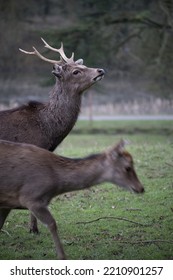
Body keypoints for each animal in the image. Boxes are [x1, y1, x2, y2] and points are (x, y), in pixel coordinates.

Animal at [0, 139, 144, 260]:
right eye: (127, 167)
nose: (141, 188)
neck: (54, 183)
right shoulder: (30, 197)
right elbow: (52, 223)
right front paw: (62, 256)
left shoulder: (8, 202)